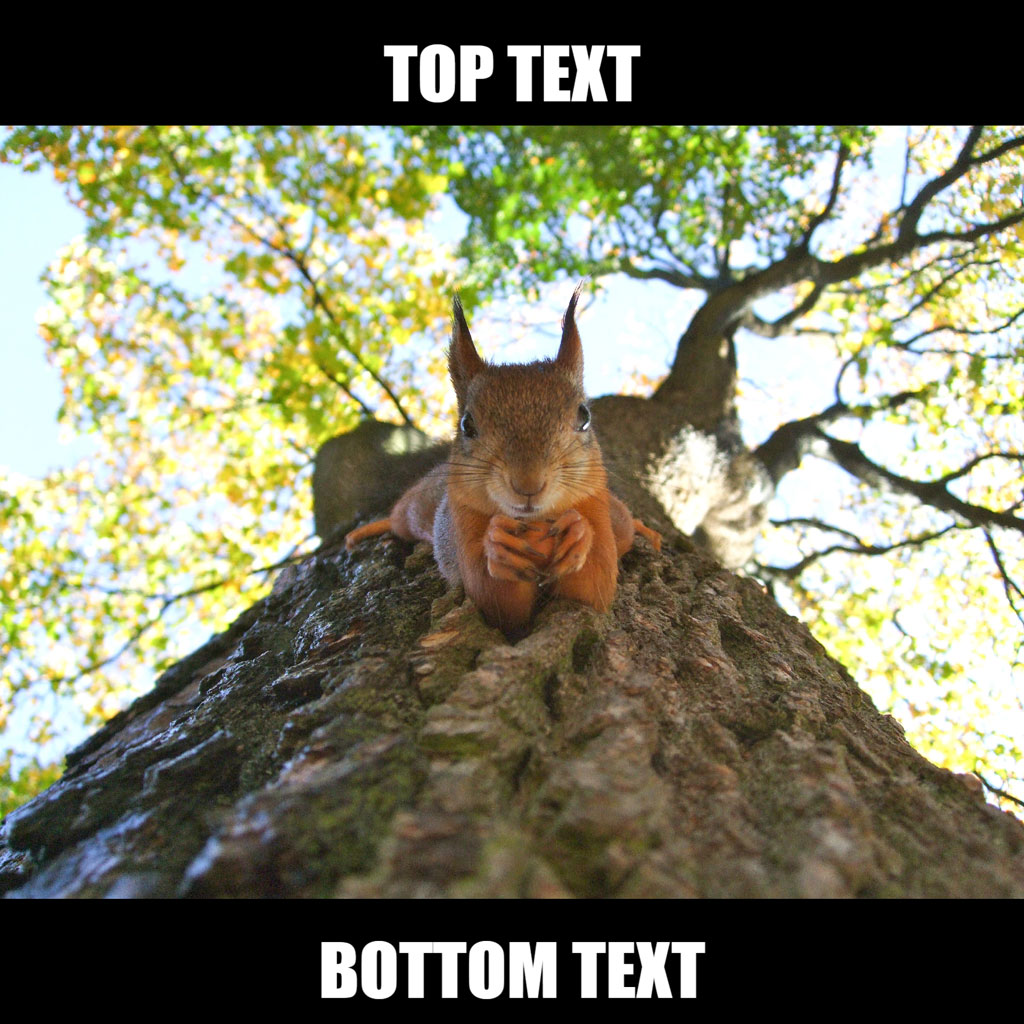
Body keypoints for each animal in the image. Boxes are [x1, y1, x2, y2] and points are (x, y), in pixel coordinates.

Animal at [344, 287, 661, 637]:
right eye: (467, 424)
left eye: (584, 417)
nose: (528, 484)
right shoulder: (463, 522)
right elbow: (496, 602)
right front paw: (498, 545)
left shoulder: (595, 507)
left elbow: (594, 588)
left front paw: (578, 533)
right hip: (417, 510)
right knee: (399, 518)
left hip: (616, 517)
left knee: (626, 524)